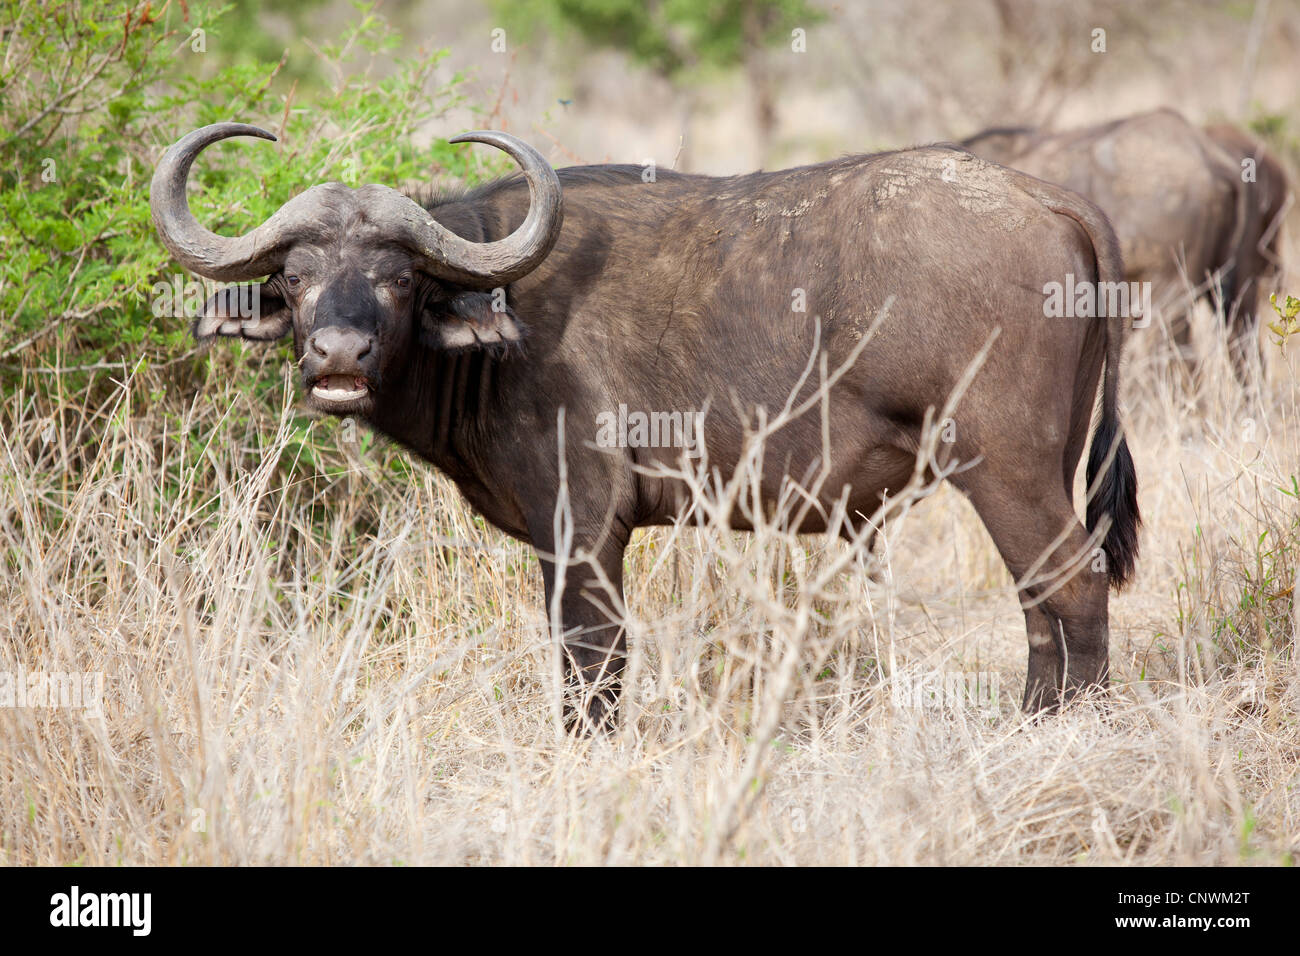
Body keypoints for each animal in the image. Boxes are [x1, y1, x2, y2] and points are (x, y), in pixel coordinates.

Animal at [152, 123, 1139, 732]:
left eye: (399, 279)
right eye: (294, 278)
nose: (340, 357)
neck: (503, 319)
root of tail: (1046, 199)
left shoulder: (583, 531)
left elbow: (592, 659)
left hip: (1005, 469)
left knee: (1074, 589)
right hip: (1042, 469)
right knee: (1041, 605)